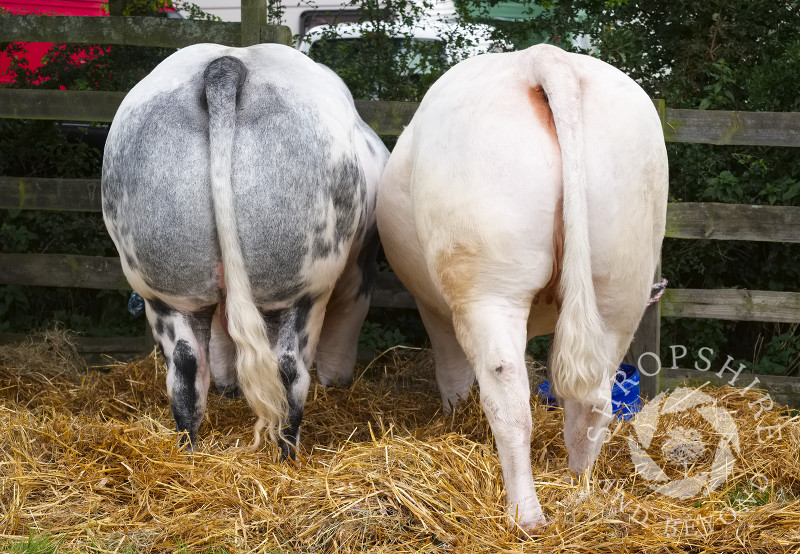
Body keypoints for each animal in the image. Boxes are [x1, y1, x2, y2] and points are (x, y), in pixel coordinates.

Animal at [101, 43, 390, 454]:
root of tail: (227, 64)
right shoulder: (358, 272)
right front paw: (337, 383)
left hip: (165, 285)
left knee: (186, 371)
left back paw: (189, 452)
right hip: (302, 285)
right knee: (288, 371)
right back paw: (287, 456)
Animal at [376, 44, 668, 528]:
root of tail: (542, 58)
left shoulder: (433, 308)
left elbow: (452, 372)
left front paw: (454, 414)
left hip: (487, 287)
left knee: (509, 398)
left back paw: (525, 514)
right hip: (619, 289)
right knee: (592, 404)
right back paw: (577, 495)